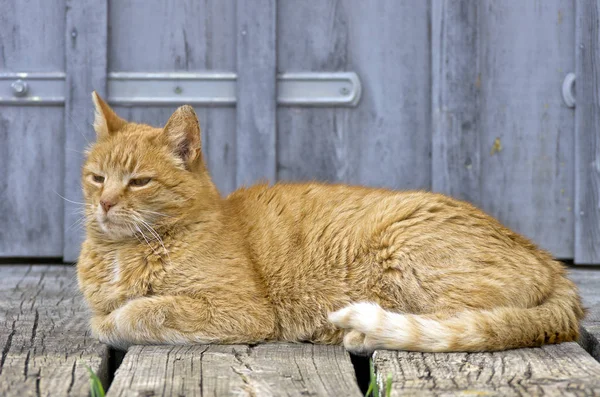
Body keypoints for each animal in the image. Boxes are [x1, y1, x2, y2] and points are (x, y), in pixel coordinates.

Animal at [77, 93, 584, 352]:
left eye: (140, 181)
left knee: (462, 320)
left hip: (407, 250)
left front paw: (115, 320)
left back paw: (359, 332)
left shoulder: (238, 309)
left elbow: (135, 312)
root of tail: (551, 262)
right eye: (97, 177)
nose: (105, 202)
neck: (124, 250)